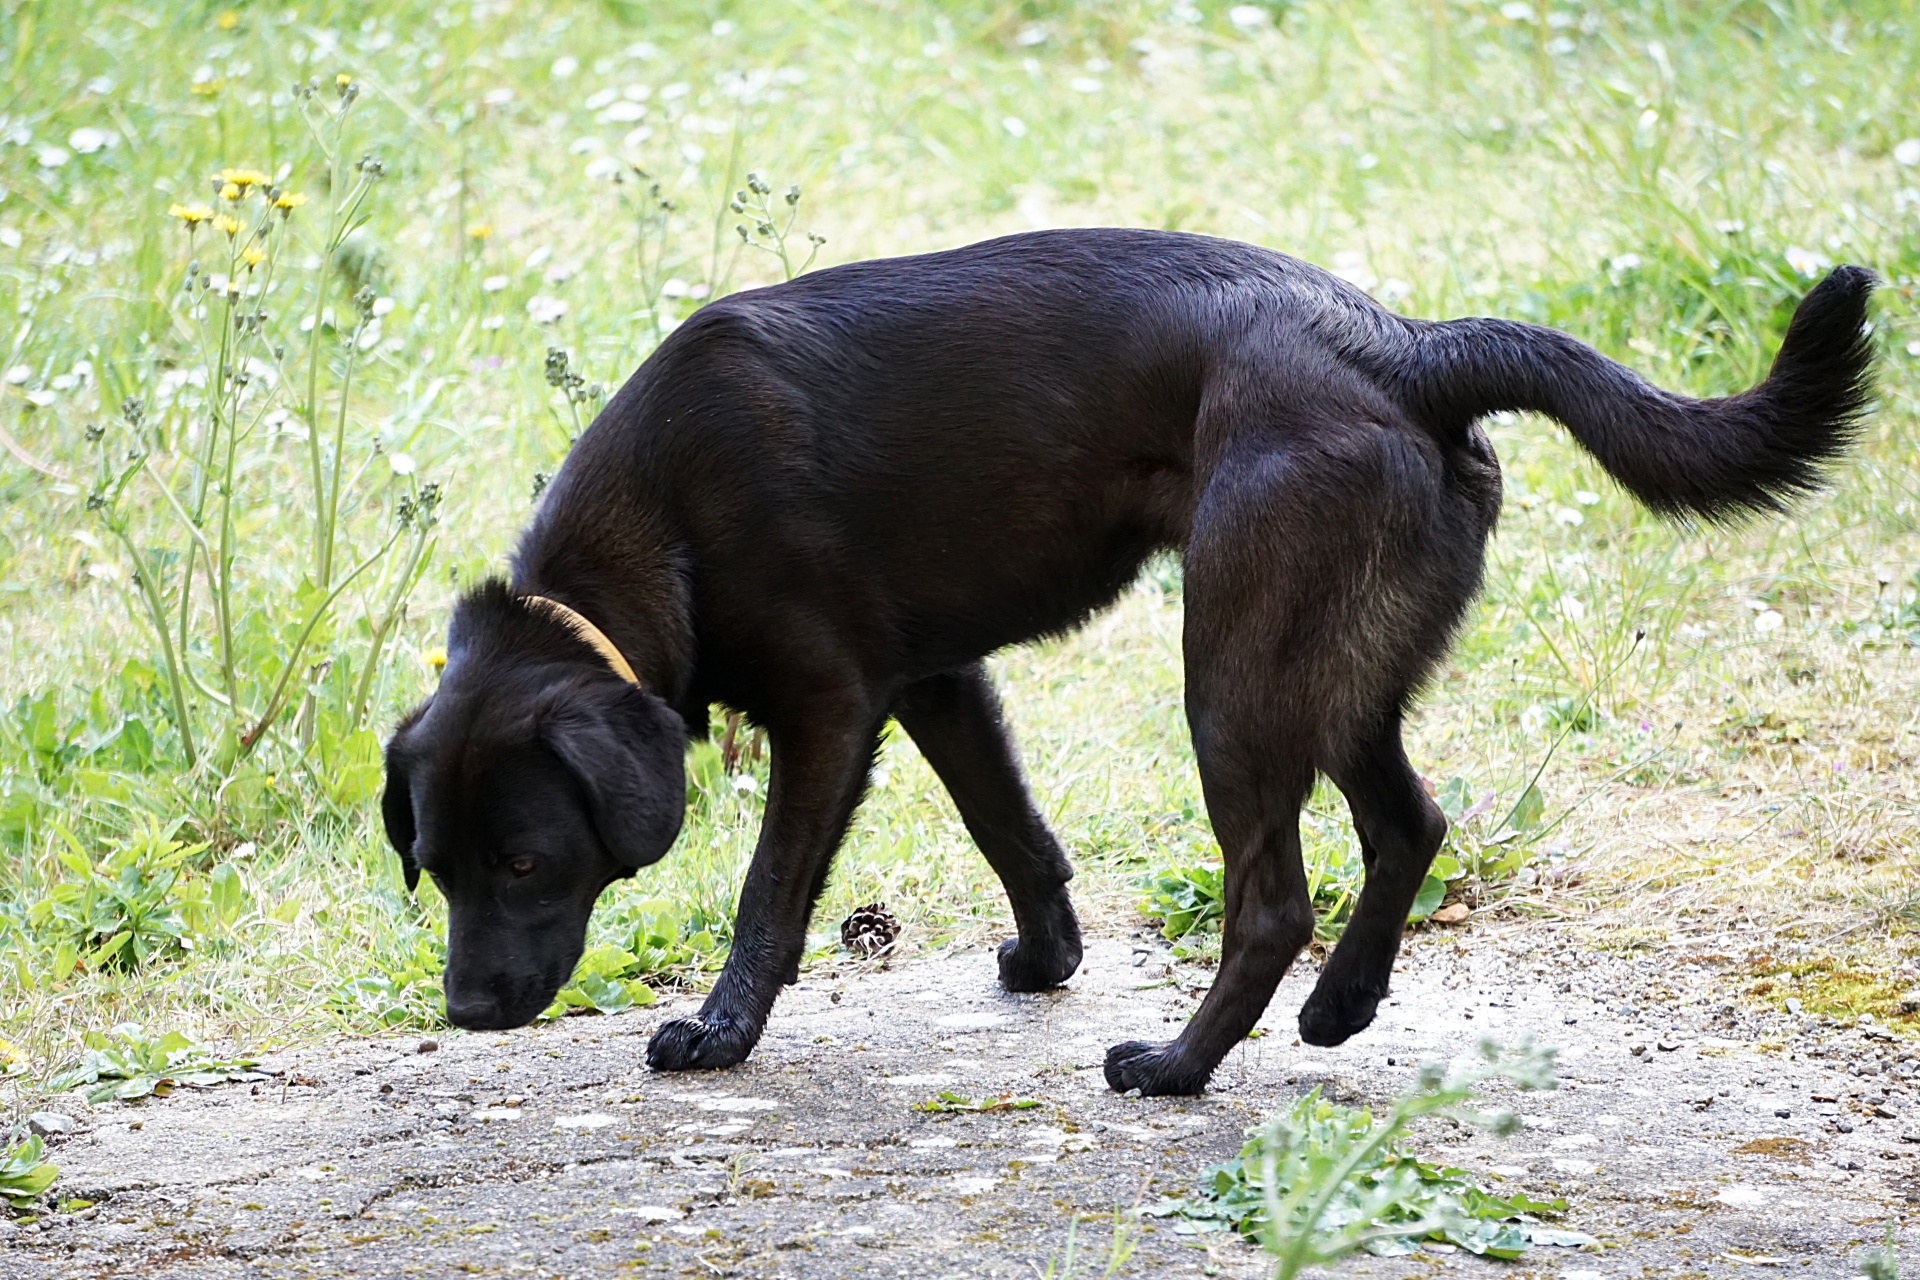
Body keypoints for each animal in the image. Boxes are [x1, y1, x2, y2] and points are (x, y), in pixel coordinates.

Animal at [378, 227, 1873, 1090]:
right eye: (433, 868)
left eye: (527, 861)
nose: (466, 1012)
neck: (660, 527)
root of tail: (1405, 347)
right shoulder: (936, 681)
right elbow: (1013, 831)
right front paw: (1047, 957)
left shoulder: (831, 706)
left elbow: (769, 895)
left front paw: (719, 1033)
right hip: (1331, 675)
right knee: (1410, 823)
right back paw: (1339, 1011)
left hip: (1235, 675)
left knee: (1272, 899)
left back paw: (1178, 1066)